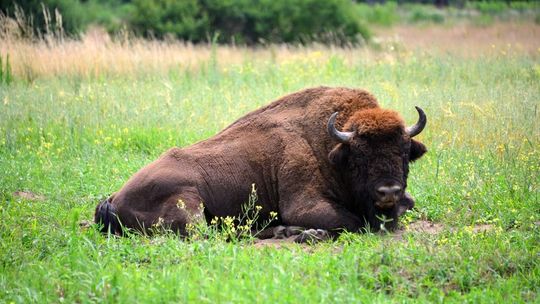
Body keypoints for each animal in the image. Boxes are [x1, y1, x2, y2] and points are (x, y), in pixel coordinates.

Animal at [96, 86, 426, 242]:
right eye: (359, 156)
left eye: (403, 151)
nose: (388, 192)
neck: (329, 146)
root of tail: (114, 198)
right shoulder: (303, 204)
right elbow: (352, 222)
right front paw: (311, 233)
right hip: (189, 204)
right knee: (214, 234)